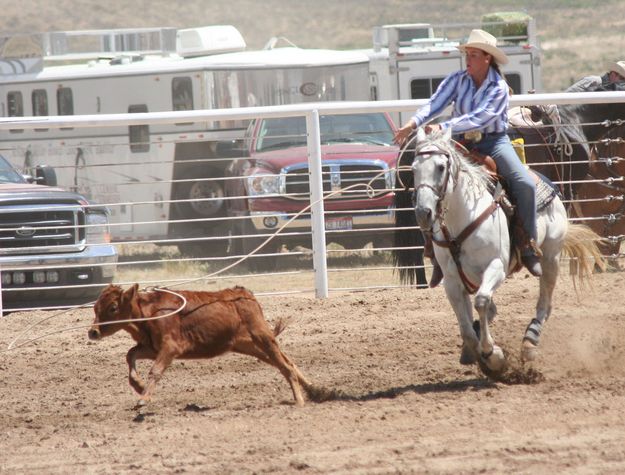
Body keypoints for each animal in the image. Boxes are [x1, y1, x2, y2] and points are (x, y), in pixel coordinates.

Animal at [89, 284, 310, 408]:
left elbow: (155, 370)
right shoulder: (152, 347)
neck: (148, 314)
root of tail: (245, 294)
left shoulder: (170, 347)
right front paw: (139, 386)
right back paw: (314, 390)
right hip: (247, 345)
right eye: (95, 307)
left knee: (285, 366)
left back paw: (299, 400)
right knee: (285, 362)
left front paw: (144, 399)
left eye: (113, 307)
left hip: (262, 336)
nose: (93, 332)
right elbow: (130, 354)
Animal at [404, 127, 604, 376]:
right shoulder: (451, 280)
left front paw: (494, 356)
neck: (462, 217)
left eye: (441, 167)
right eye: (413, 169)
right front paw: (478, 353)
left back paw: (529, 342)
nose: (423, 212)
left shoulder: (496, 266)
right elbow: (466, 327)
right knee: (490, 309)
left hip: (551, 257)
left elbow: (481, 302)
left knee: (544, 302)